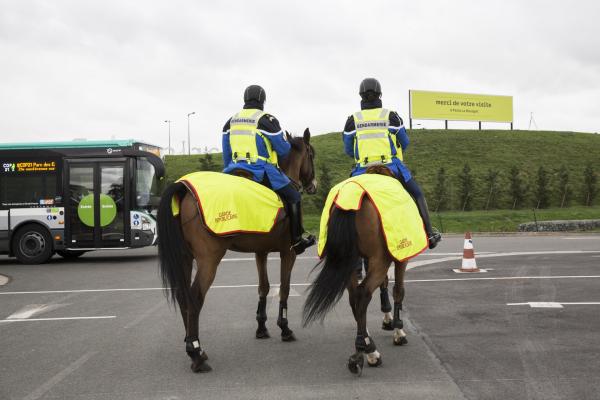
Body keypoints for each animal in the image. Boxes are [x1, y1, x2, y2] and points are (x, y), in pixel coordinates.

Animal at [157, 130, 316, 374]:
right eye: (312, 154)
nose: (313, 185)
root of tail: (184, 187)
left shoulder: (261, 252)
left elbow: (264, 287)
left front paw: (261, 327)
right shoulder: (287, 253)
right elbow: (284, 289)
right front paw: (284, 328)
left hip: (184, 258)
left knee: (183, 296)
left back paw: (194, 346)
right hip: (209, 260)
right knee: (195, 298)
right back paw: (196, 352)